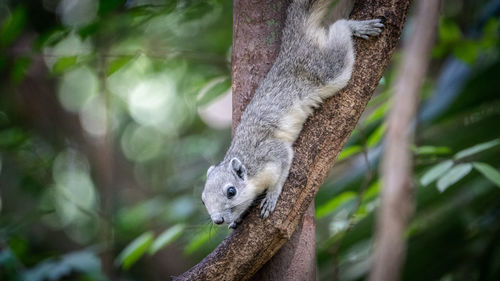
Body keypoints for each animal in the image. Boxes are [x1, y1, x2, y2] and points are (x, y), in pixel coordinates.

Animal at [199, 0, 382, 228]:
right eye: (203, 199)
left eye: (231, 191)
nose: (218, 220)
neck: (251, 170)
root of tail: (292, 46)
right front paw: (238, 218)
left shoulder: (271, 152)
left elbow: (283, 165)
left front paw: (271, 196)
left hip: (327, 70)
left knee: (339, 31)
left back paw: (355, 26)